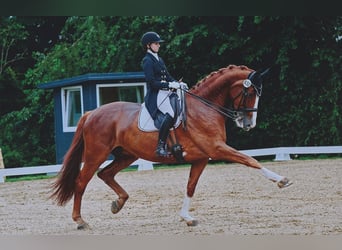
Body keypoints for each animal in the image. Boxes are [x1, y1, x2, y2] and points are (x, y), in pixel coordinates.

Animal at [50, 64, 292, 229]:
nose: (248, 124)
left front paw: (187, 217)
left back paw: (118, 203)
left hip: (126, 155)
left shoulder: (202, 158)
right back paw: (80, 221)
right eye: (249, 93)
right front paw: (282, 180)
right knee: (81, 182)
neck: (205, 107)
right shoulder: (216, 148)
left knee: (106, 174)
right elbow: (250, 160)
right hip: (96, 154)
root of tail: (91, 113)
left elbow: (190, 186)